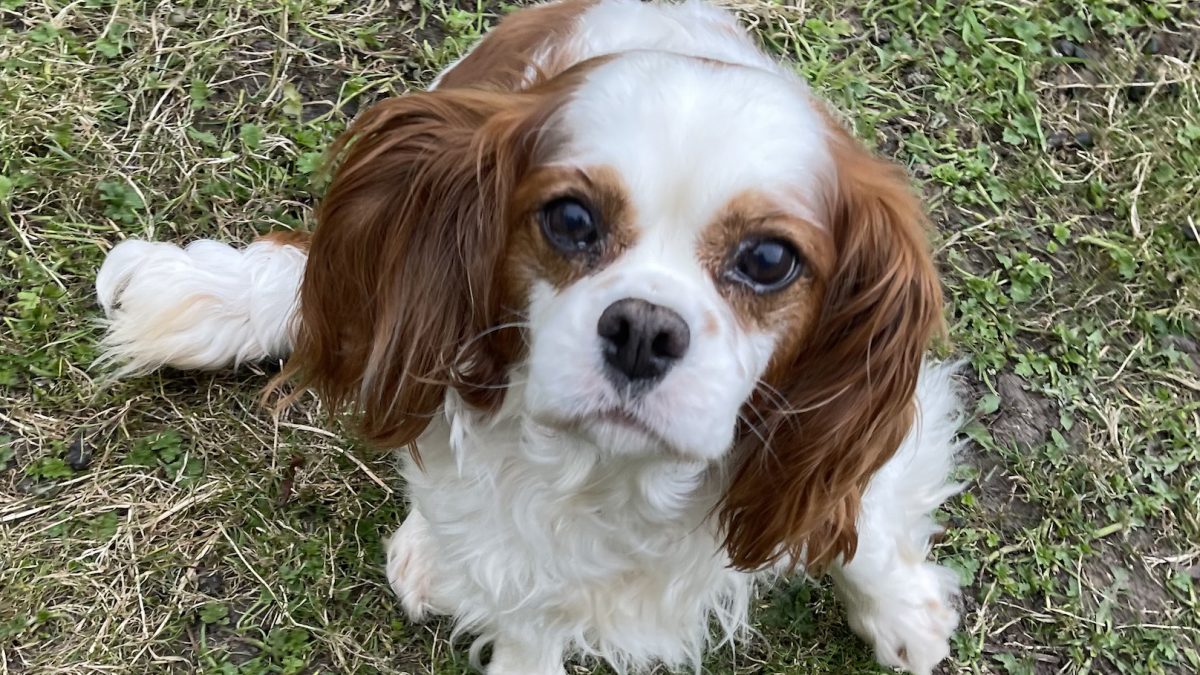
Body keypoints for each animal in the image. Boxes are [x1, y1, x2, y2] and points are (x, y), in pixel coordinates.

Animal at [98, 1, 969, 672]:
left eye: (767, 259)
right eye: (571, 218)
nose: (643, 330)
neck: (624, 476)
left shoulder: (868, 421)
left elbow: (870, 527)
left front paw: (902, 613)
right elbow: (522, 607)